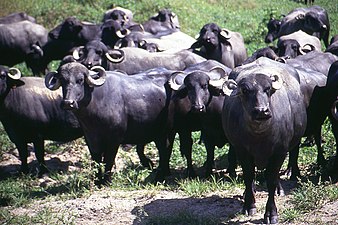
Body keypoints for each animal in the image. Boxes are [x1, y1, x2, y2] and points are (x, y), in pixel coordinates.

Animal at [220, 56, 308, 223]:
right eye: (245, 90)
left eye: (268, 89)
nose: (262, 111)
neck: (259, 135)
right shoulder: (242, 150)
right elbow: (248, 176)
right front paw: (249, 205)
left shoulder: (279, 152)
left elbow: (271, 179)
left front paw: (271, 213)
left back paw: (280, 189)